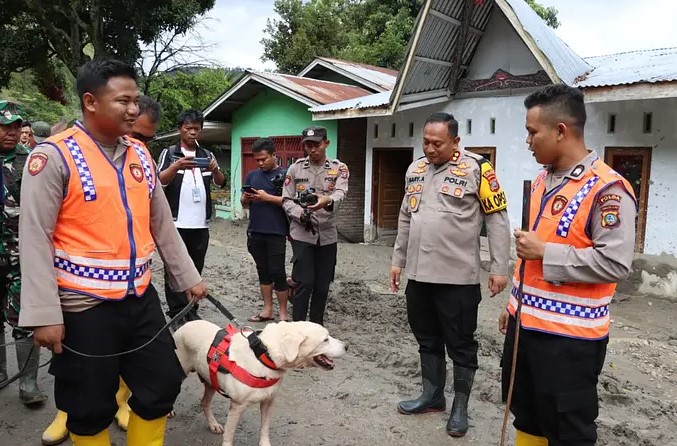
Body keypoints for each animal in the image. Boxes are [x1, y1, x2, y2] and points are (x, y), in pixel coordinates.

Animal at [172, 320, 346, 446]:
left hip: (210, 380)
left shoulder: (268, 401)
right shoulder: (236, 407)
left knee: (205, 402)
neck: (263, 355)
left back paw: (213, 424)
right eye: (325, 339)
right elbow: (229, 436)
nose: (347, 346)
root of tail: (183, 325)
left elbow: (265, 428)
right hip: (180, 372)